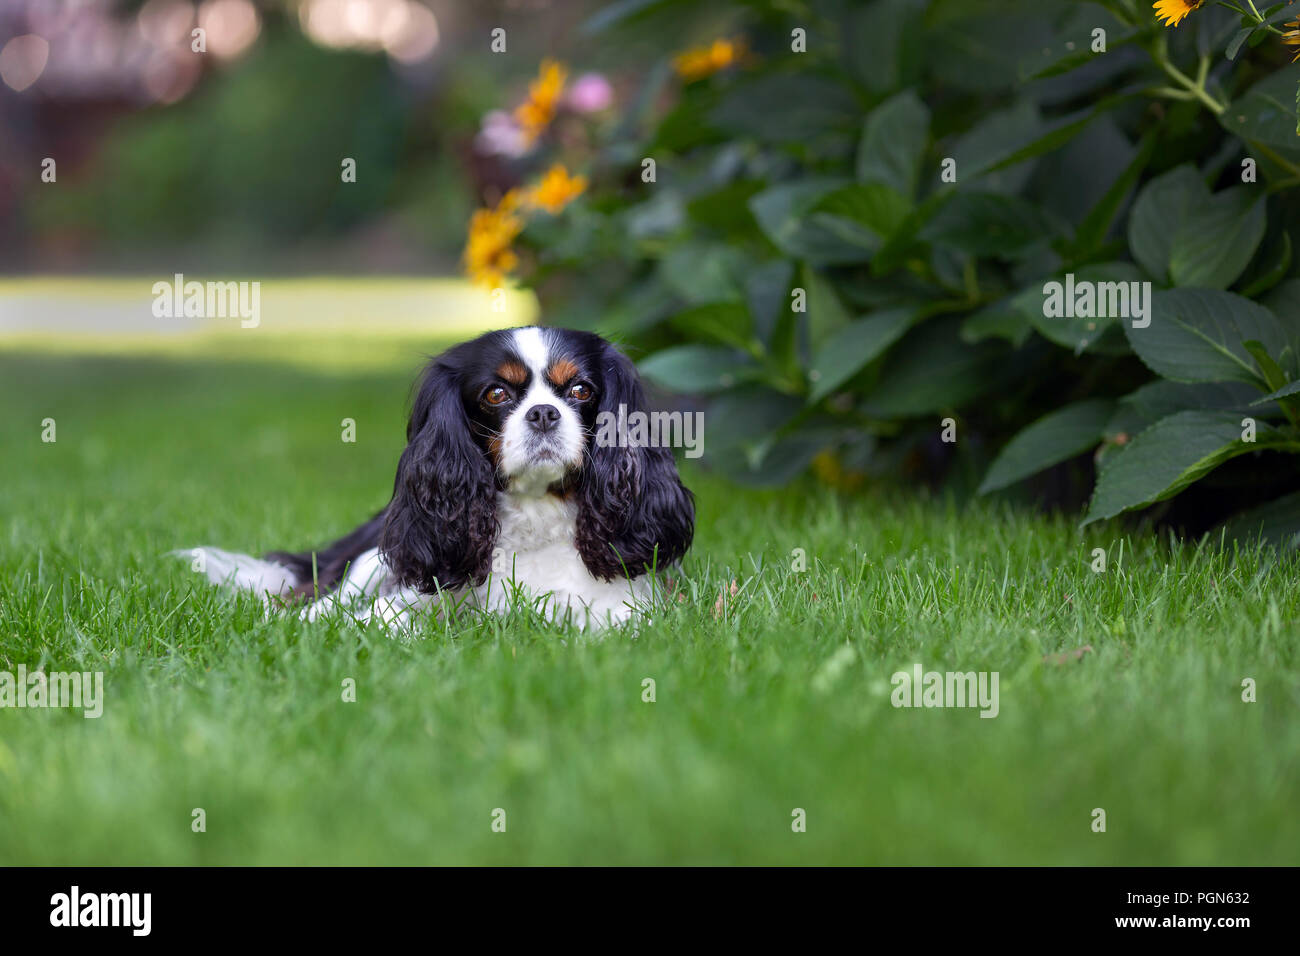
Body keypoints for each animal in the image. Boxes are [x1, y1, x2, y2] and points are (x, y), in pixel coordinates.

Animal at [184, 325, 696, 632]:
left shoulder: (622, 610)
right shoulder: (409, 592)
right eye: (495, 394)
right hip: (375, 555)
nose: (544, 413)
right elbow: (380, 621)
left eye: (581, 390)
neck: (533, 513)